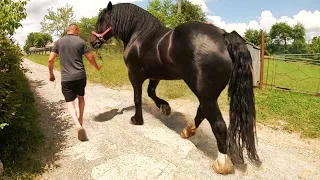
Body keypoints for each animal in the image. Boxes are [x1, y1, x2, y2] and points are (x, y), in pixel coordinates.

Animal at [90, 2, 260, 175]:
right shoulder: (155, 75)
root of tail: (224, 36)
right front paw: (165, 107)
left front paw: (137, 120)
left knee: (218, 124)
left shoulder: (134, 74)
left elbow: (137, 97)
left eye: (101, 19)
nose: (92, 42)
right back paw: (188, 131)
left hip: (205, 94)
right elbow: (151, 92)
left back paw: (221, 163)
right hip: (208, 94)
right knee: (202, 111)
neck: (139, 34)